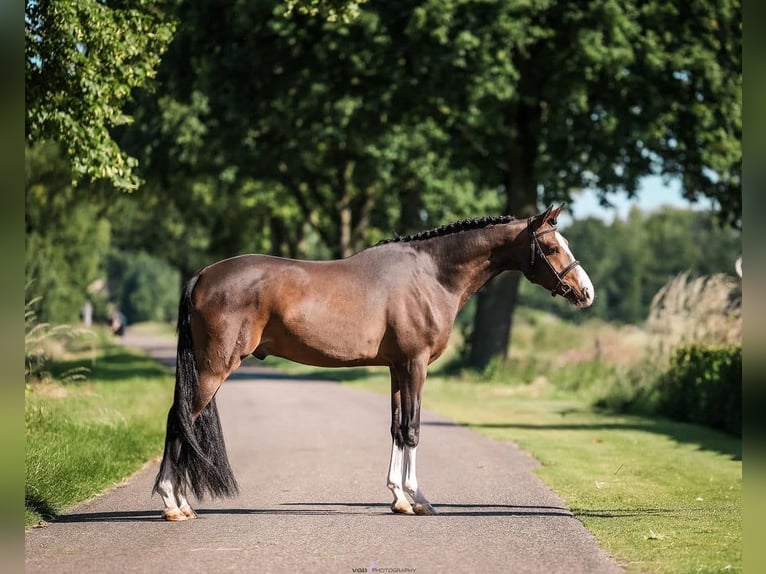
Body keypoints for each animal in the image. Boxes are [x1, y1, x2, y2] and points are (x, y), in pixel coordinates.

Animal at [154, 206, 592, 520]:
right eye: (553, 247)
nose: (586, 292)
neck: (431, 275)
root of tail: (202, 276)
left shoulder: (397, 367)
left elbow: (396, 428)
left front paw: (398, 498)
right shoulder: (416, 364)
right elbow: (413, 429)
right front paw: (419, 498)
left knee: (179, 420)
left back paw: (181, 502)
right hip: (213, 369)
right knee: (180, 419)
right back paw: (173, 504)